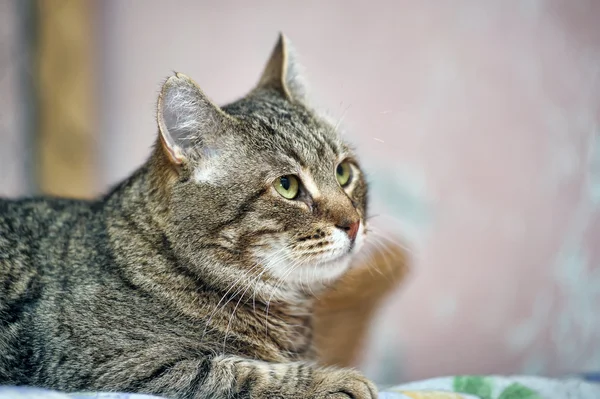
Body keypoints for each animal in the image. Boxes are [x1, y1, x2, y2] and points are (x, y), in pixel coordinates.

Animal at [0, 34, 376, 399]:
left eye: (344, 172)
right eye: (287, 186)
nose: (354, 223)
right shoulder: (126, 368)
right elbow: (243, 372)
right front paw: (334, 380)